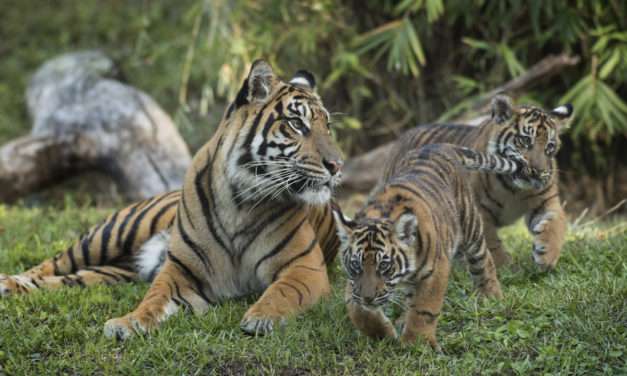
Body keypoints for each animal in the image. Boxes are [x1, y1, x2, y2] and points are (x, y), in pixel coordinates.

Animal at [0, 59, 344, 340]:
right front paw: (128, 323)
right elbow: (153, 299)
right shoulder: (180, 272)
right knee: (51, 264)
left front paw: (261, 317)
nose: (338, 164)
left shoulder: (304, 267)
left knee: (69, 279)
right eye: (297, 124)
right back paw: (9, 282)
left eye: (328, 126)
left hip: (110, 273)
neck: (241, 201)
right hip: (109, 234)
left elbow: (282, 292)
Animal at [334, 143, 524, 350]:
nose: (368, 297)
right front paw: (383, 334)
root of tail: (439, 146)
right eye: (356, 265)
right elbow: (359, 311)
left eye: (384, 265)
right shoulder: (353, 282)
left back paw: (491, 296)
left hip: (470, 226)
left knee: (483, 260)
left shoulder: (435, 271)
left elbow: (424, 309)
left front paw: (416, 343)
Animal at [390, 95, 576, 268]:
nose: (538, 171)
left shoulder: (546, 202)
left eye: (550, 146)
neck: (514, 189)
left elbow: (556, 224)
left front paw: (547, 255)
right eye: (524, 140)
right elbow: (490, 241)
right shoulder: (478, 210)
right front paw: (505, 266)